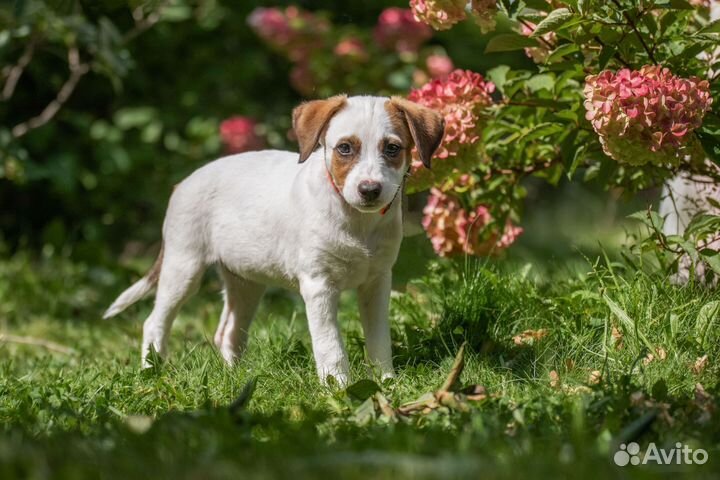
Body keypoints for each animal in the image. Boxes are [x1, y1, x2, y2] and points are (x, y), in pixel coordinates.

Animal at [103, 95, 442, 384]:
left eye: (392, 149)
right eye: (345, 148)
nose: (370, 189)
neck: (357, 220)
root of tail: (182, 183)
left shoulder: (377, 282)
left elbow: (379, 338)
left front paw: (386, 381)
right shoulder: (318, 286)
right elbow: (330, 344)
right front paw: (339, 387)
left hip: (245, 281)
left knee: (228, 332)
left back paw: (234, 378)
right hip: (183, 265)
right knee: (154, 323)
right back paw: (152, 371)